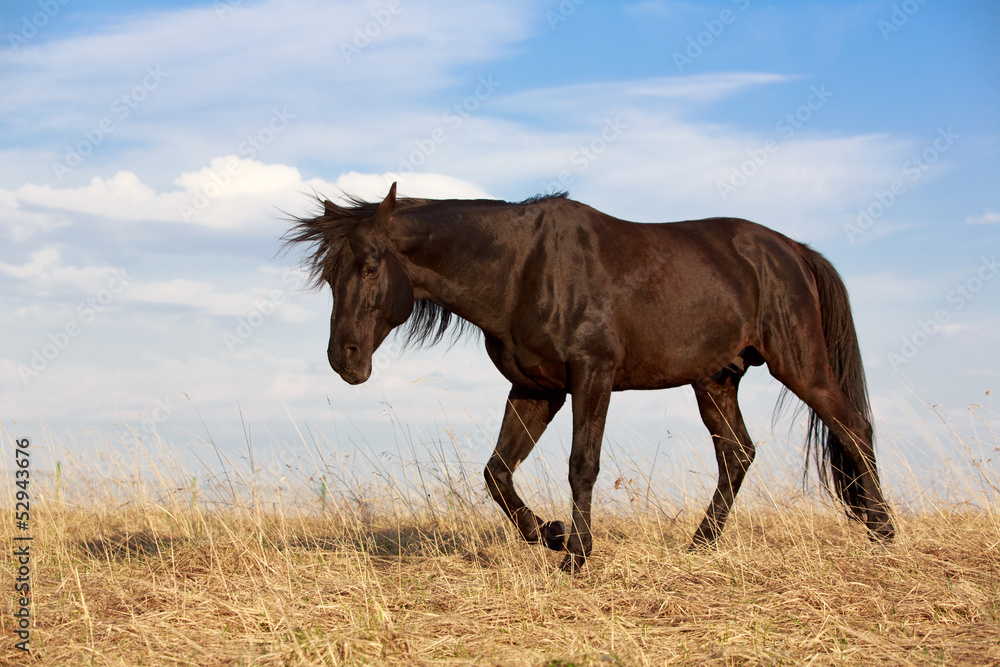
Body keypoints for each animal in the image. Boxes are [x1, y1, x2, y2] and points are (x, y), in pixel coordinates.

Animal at [284, 182, 894, 572]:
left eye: (369, 268)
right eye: (330, 276)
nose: (345, 359)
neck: (523, 267)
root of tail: (792, 251)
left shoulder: (591, 375)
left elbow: (582, 464)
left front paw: (576, 554)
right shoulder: (537, 388)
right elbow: (497, 473)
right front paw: (549, 535)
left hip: (800, 364)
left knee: (853, 428)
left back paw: (883, 531)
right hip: (715, 380)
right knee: (738, 454)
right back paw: (699, 545)